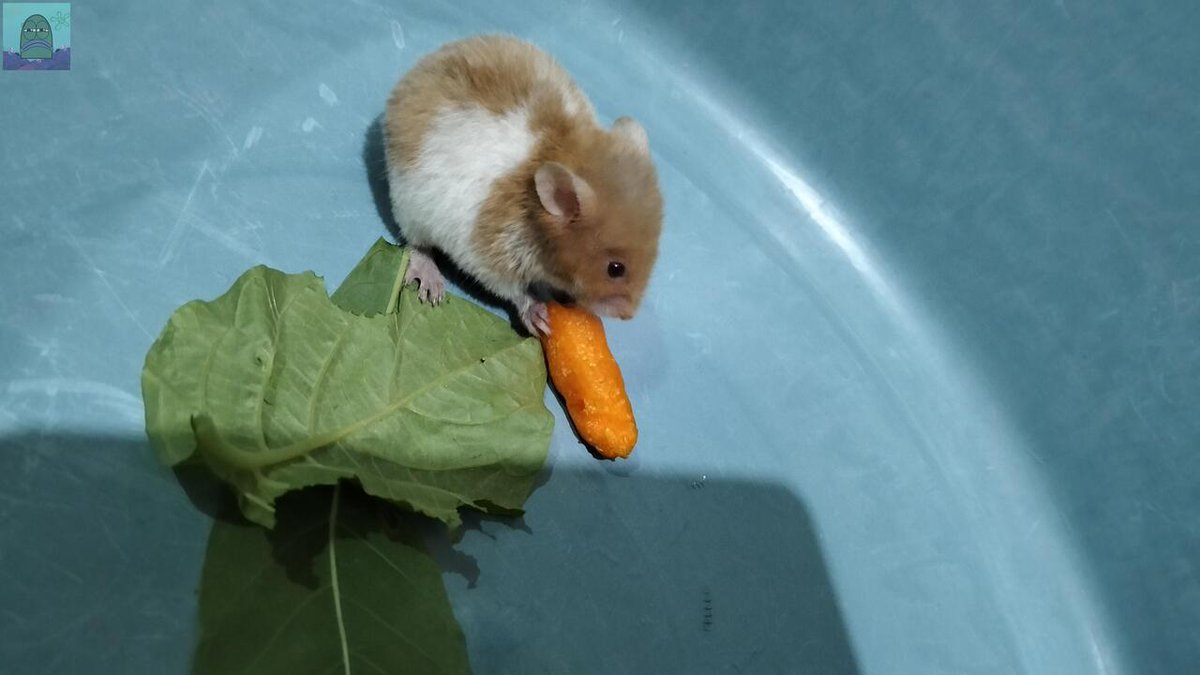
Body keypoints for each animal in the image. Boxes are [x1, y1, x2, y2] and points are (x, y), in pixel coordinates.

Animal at [382, 34, 663, 335]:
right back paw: (432, 290)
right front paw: (542, 320)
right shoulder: (490, 257)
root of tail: (411, 76)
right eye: (615, 269)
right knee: (417, 245)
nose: (628, 316)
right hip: (409, 207)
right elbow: (514, 291)